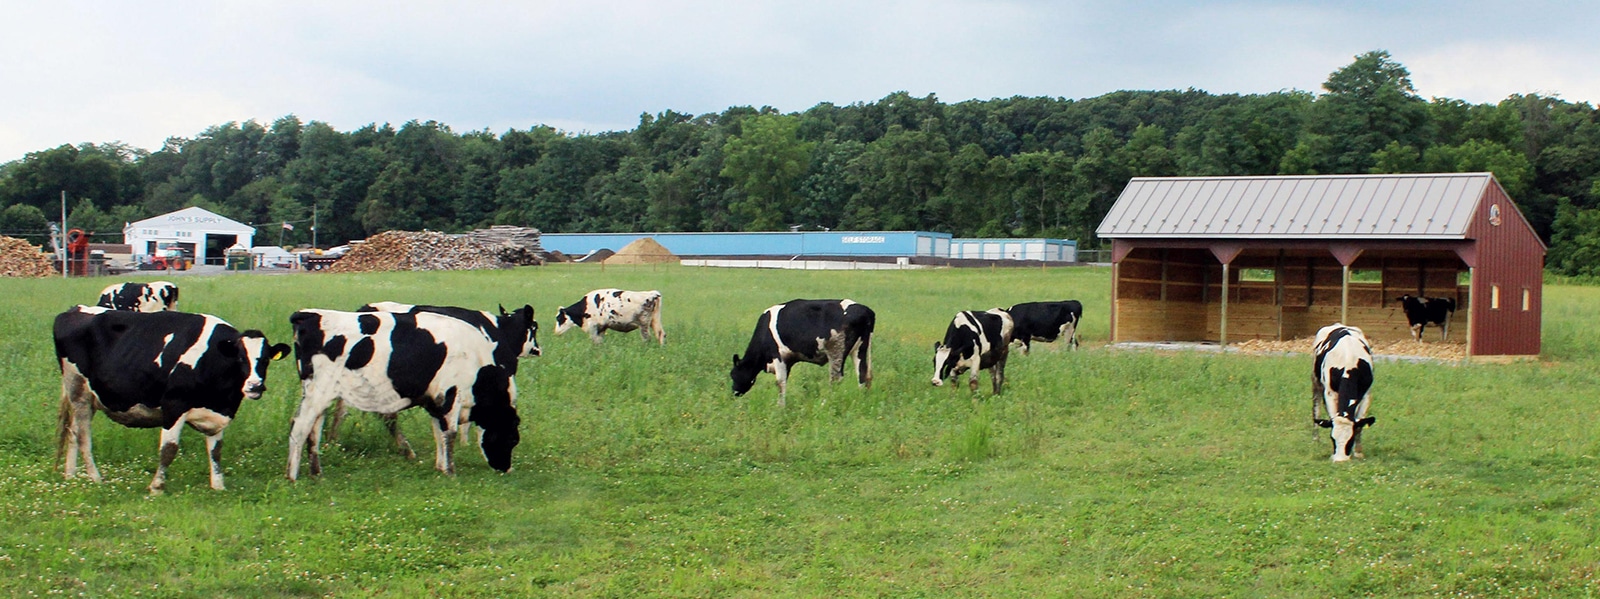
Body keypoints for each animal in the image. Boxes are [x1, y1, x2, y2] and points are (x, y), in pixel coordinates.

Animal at [54, 305, 292, 493]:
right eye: (241, 358)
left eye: (266, 359)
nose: (255, 386)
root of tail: (74, 310)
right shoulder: (173, 405)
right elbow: (169, 449)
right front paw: (156, 487)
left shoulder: (217, 413)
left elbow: (216, 451)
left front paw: (218, 486)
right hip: (78, 390)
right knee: (83, 435)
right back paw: (96, 479)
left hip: (89, 397)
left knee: (72, 431)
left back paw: (70, 475)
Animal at [284, 305, 540, 480]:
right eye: (513, 438)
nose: (506, 468)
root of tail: (309, 315)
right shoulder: (451, 395)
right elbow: (450, 434)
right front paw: (451, 471)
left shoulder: (435, 401)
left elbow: (438, 432)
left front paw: (440, 467)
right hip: (319, 392)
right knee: (300, 427)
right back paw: (292, 476)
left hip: (321, 395)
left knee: (315, 429)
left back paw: (316, 472)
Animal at [729, 299, 876, 406]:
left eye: (733, 375)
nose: (734, 393)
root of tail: (866, 310)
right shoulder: (787, 360)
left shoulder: (778, 355)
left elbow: (780, 382)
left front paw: (780, 407)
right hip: (860, 349)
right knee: (862, 375)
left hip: (837, 351)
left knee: (836, 378)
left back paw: (826, 403)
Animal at [1312, 323, 1376, 464]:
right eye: (1332, 439)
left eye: (1350, 440)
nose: (1340, 460)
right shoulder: (1330, 393)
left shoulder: (1366, 395)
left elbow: (1359, 425)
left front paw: (1358, 452)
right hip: (1315, 381)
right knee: (1316, 408)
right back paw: (1315, 439)